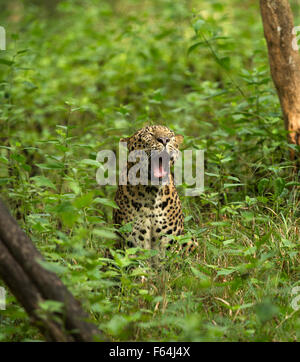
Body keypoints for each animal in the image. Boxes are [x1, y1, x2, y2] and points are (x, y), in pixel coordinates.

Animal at [112, 125, 190, 258]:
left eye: (170, 135)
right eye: (149, 134)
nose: (164, 140)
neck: (151, 192)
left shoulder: (170, 242)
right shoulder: (132, 241)